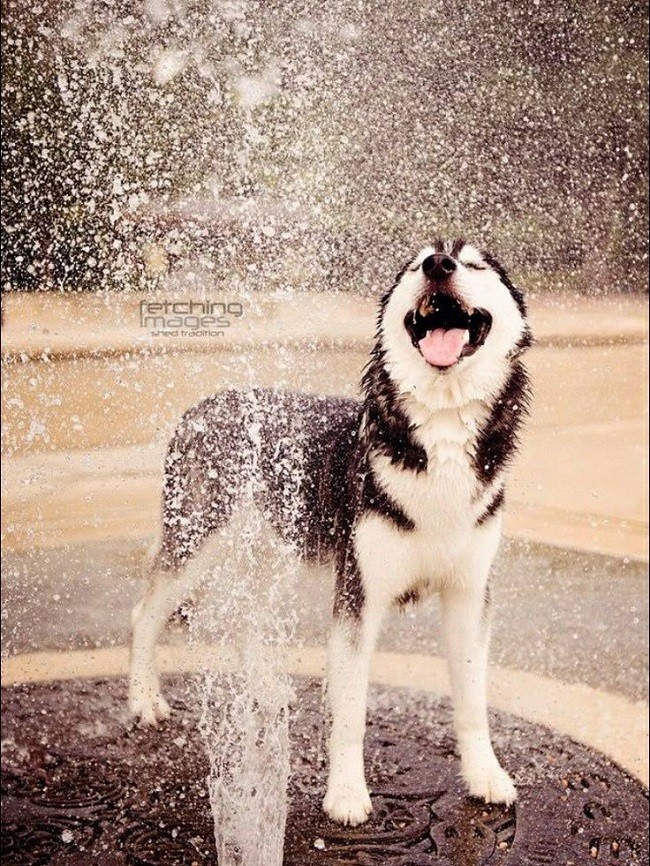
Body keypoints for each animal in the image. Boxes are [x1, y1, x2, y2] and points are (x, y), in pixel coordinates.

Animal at [129, 236, 528, 824]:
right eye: (417, 263)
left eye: (475, 263)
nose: (439, 264)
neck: (439, 439)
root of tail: (198, 408)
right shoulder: (357, 594)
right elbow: (349, 710)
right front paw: (345, 793)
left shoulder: (469, 594)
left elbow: (474, 701)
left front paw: (485, 776)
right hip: (199, 543)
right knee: (146, 612)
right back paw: (142, 699)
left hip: (271, 552)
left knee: (249, 619)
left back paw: (263, 690)